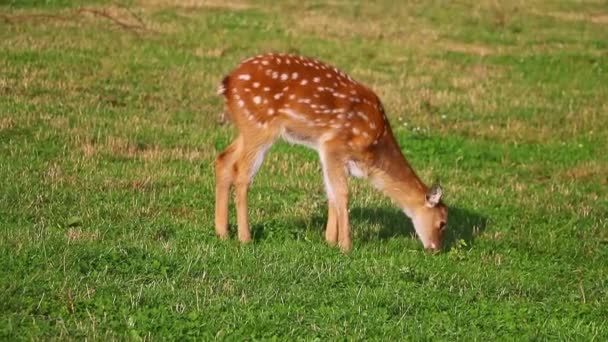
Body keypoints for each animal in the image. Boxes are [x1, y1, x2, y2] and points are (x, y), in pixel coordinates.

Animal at [214, 52, 446, 251]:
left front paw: (330, 241)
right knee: (242, 172)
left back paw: (222, 232)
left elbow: (331, 191)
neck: (374, 150)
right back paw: (245, 237)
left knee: (223, 159)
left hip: (247, 128)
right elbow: (342, 193)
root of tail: (227, 82)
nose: (436, 249)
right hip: (259, 126)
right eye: (443, 222)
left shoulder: (330, 153)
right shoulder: (334, 145)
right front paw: (346, 246)